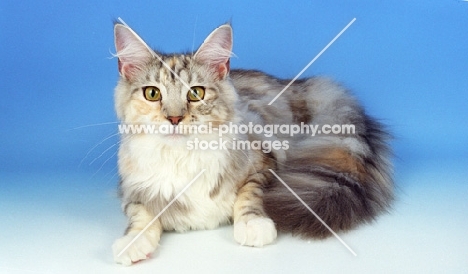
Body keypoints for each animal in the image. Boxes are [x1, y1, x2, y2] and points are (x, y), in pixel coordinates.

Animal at [111, 21, 394, 266]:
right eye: (152, 93)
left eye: (195, 93)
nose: (174, 118)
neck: (183, 157)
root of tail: (299, 84)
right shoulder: (130, 189)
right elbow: (140, 213)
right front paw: (132, 242)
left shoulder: (264, 160)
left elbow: (249, 193)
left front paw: (252, 225)